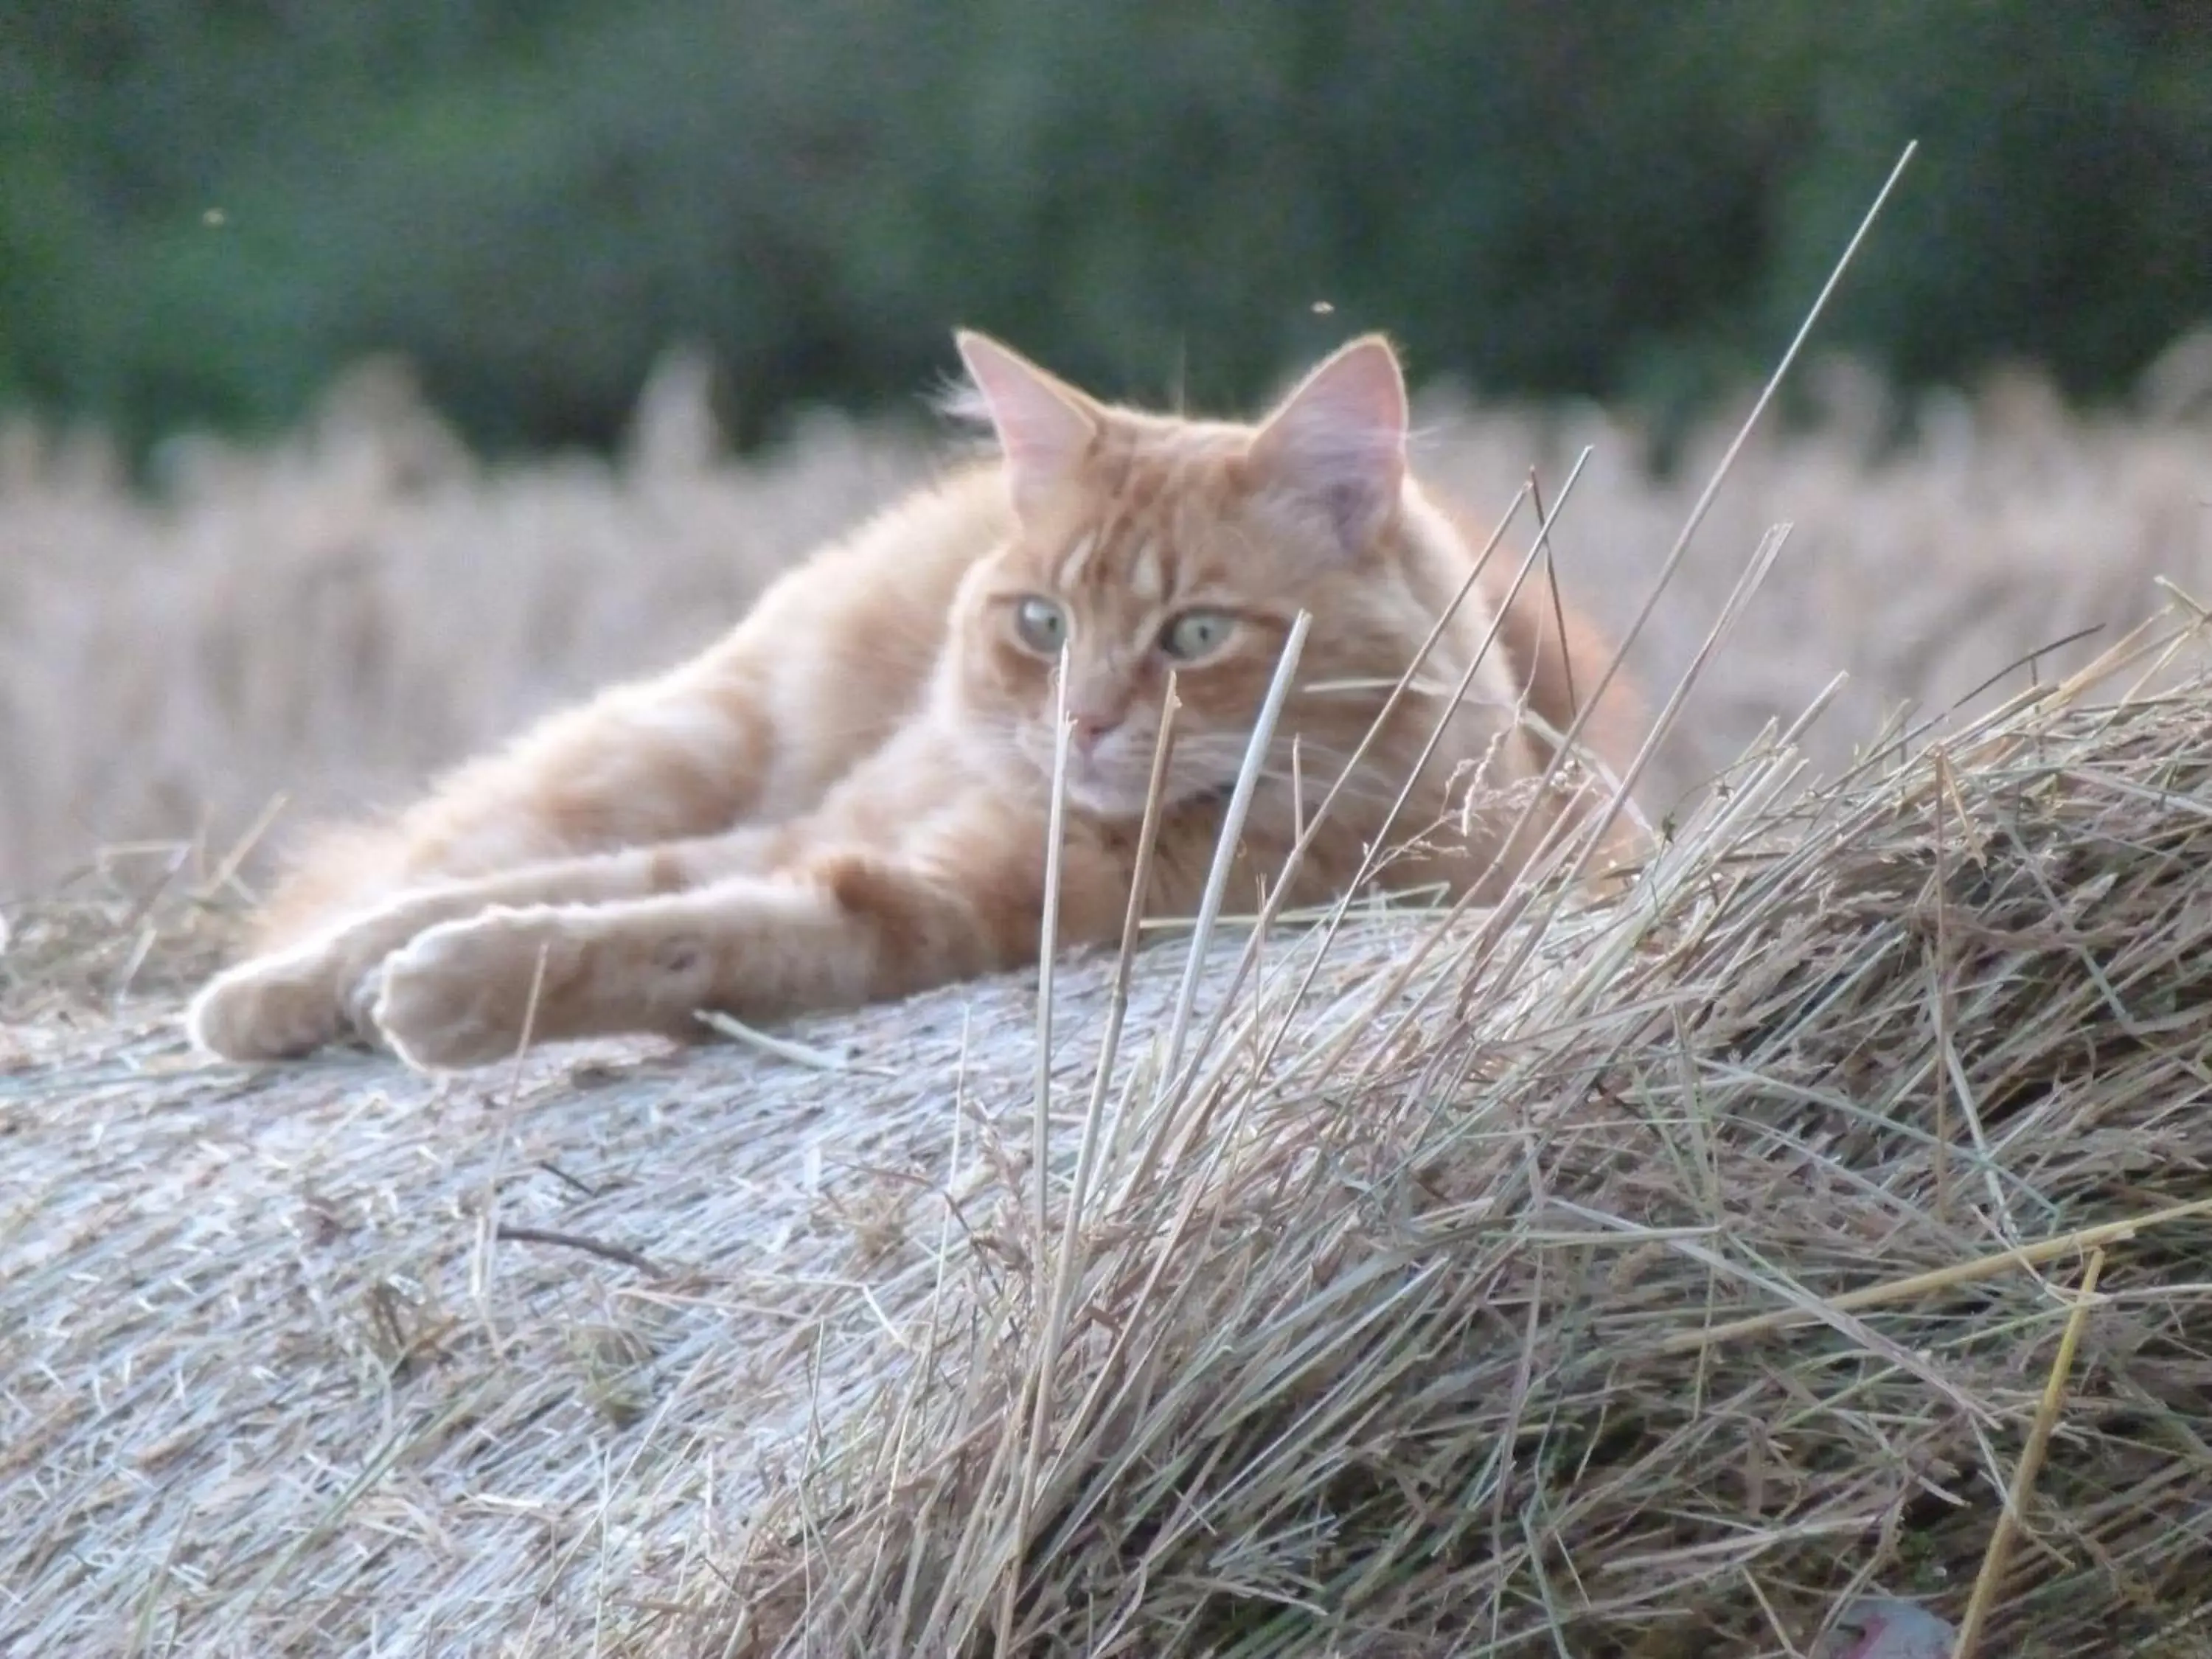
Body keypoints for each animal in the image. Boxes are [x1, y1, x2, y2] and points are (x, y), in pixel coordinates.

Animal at [190, 332, 1646, 1071]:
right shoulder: (799, 829)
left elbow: (662, 936)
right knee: (445, 848)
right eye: (1042, 622)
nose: (1083, 723)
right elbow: (508, 894)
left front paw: (460, 990)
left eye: (1197, 635)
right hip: (692, 738)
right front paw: (294, 989)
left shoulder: (920, 908)